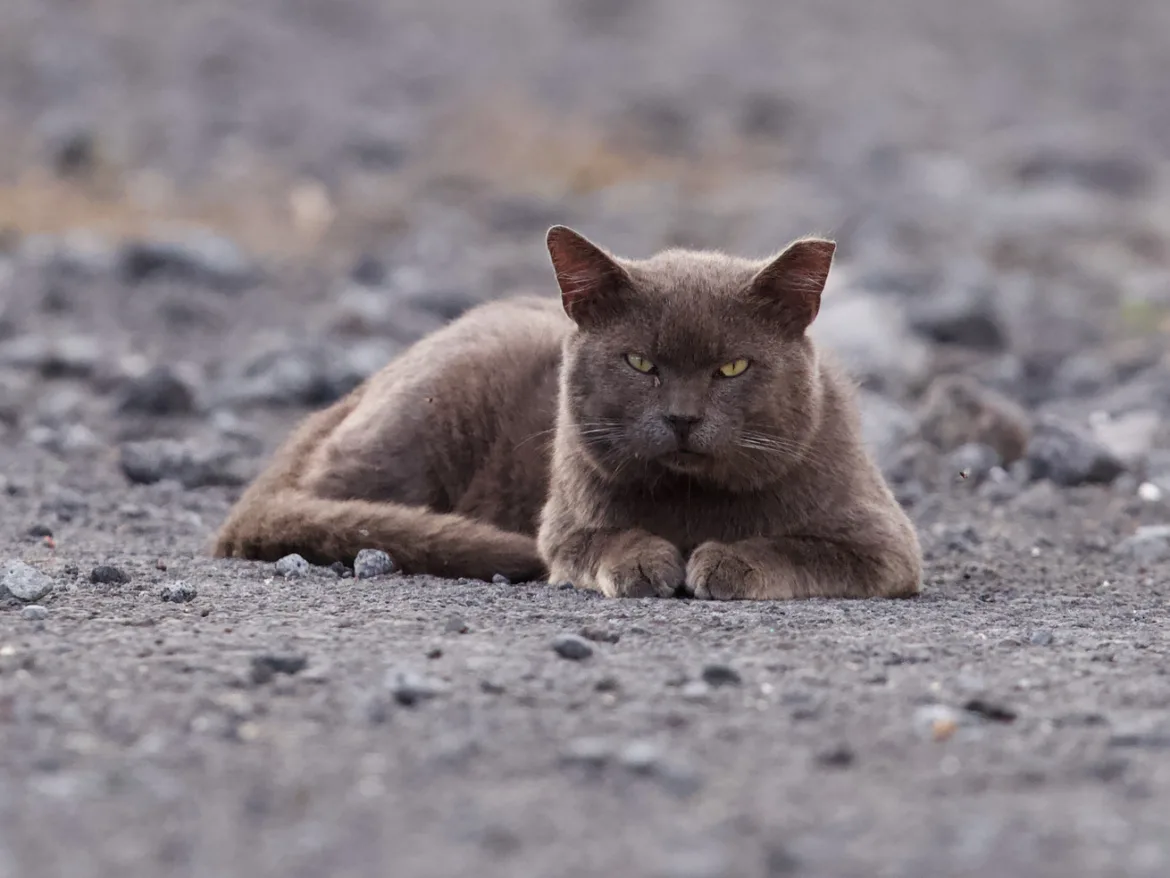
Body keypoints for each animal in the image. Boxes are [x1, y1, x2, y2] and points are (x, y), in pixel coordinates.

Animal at [212, 223, 921, 604]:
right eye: (640, 363)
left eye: (732, 369)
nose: (682, 418)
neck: (692, 500)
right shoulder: (565, 522)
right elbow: (598, 540)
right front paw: (646, 562)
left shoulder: (885, 544)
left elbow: (797, 545)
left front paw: (726, 562)